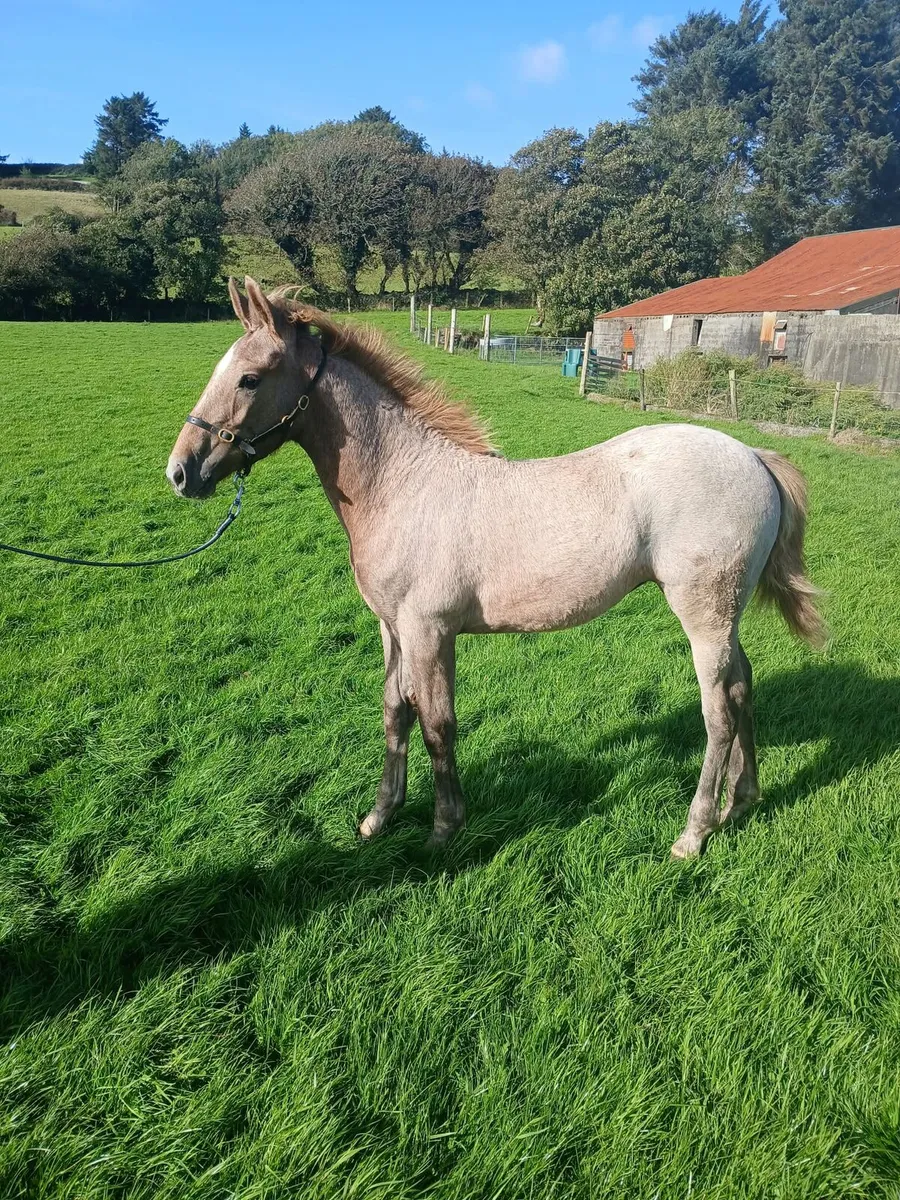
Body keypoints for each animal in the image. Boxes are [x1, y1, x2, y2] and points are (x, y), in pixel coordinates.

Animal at [167, 277, 825, 858]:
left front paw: (443, 829)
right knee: (742, 687)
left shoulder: (429, 630)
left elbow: (437, 722)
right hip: (726, 616)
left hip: (703, 614)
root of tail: (753, 456)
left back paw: (694, 832)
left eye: (249, 378)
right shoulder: (394, 628)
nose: (181, 472)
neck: (403, 483)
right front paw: (379, 817)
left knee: (718, 712)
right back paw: (742, 800)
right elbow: (395, 712)